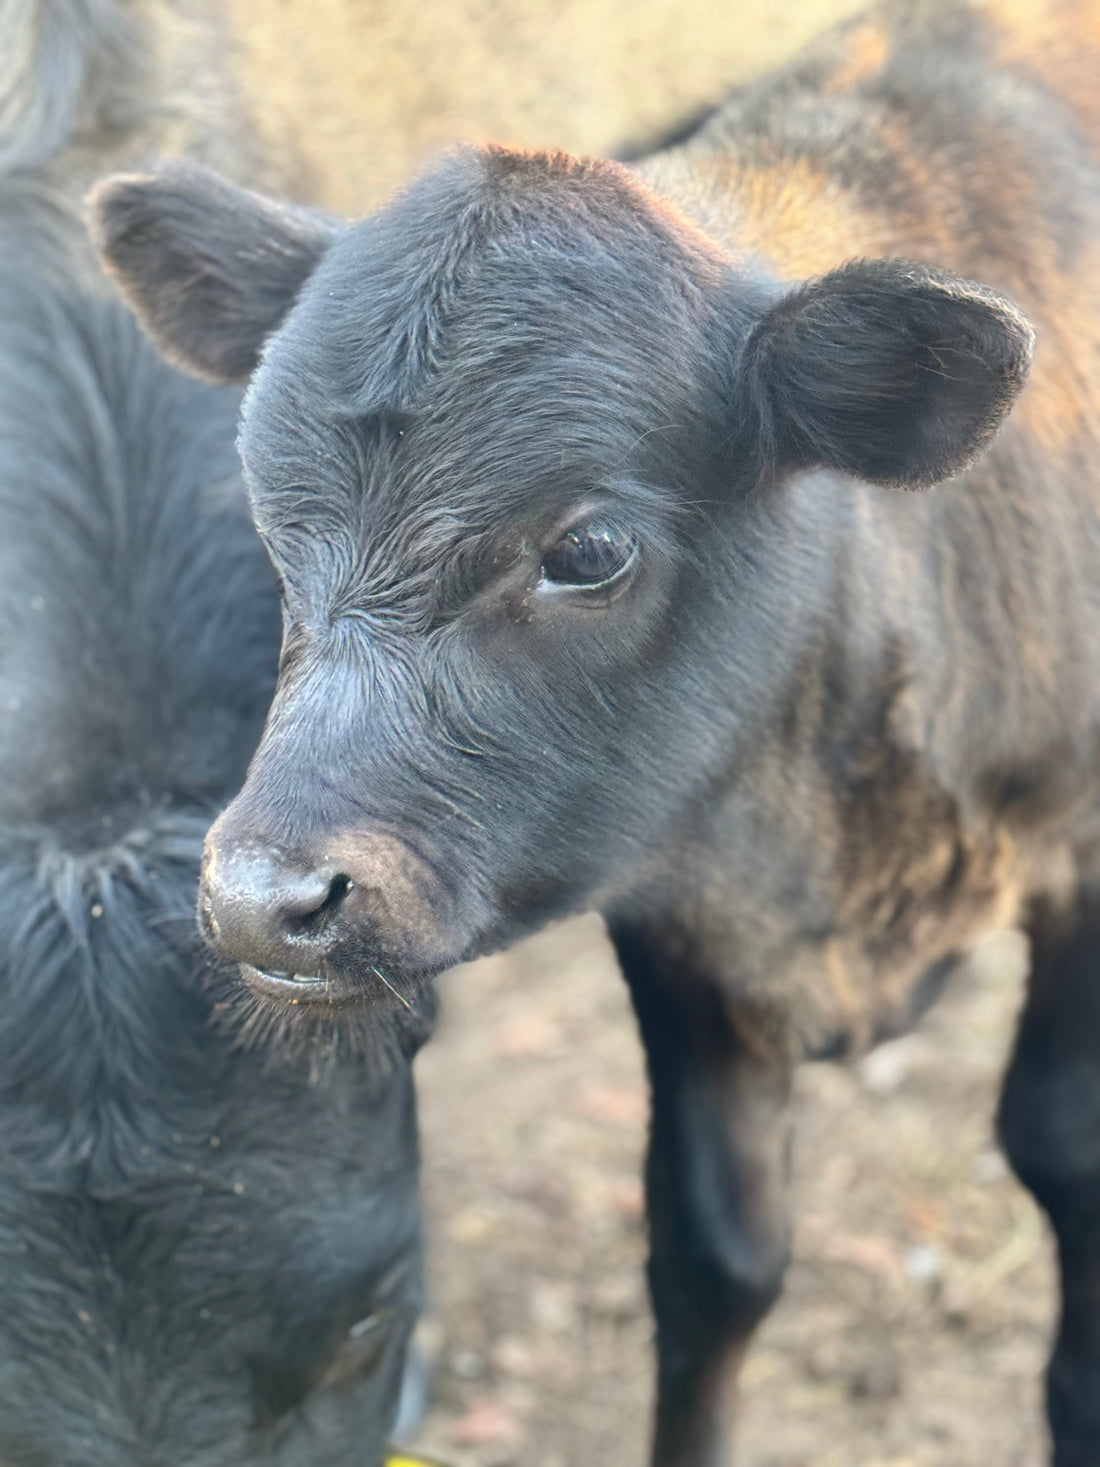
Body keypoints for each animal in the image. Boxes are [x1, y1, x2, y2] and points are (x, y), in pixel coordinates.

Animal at [90, 2, 1100, 1467]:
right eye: (267, 509)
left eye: (589, 548)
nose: (261, 895)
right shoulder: (674, 910)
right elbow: (715, 1251)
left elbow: (1062, 1147)